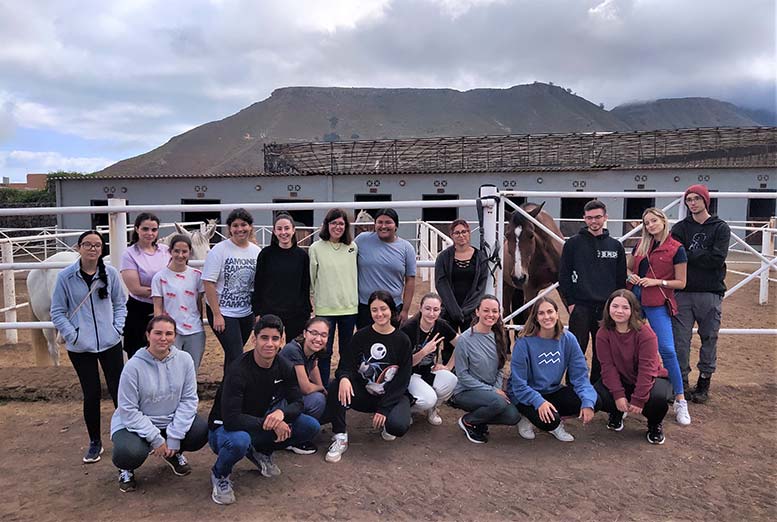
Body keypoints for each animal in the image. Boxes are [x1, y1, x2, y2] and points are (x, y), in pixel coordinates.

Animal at [26, 221, 215, 364]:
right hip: (46, 319)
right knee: (53, 349)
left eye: (208, 251)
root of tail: (38, 268)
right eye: (190, 251)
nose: (203, 281)